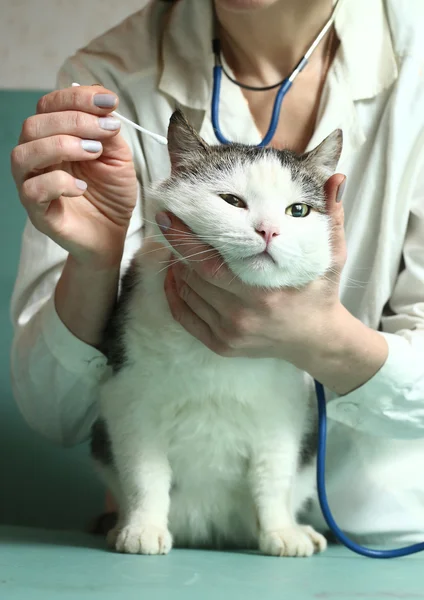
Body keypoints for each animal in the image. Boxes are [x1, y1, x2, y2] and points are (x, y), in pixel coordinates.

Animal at [91, 111, 342, 556]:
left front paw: (281, 533)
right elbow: (145, 475)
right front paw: (143, 529)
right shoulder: (130, 400)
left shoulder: (283, 414)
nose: (268, 230)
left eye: (298, 210)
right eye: (232, 201)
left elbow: (273, 479)